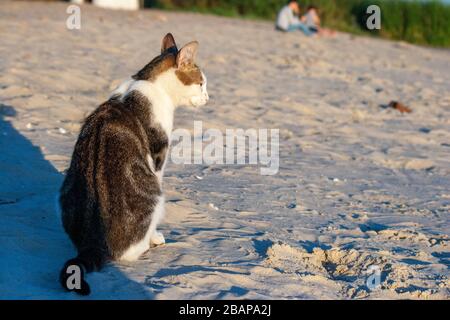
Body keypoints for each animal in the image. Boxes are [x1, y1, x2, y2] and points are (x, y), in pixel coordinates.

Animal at [57, 33, 209, 296]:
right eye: (201, 83)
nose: (208, 98)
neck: (149, 82)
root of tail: (92, 243)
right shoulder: (158, 158)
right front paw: (155, 236)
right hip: (154, 194)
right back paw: (147, 244)